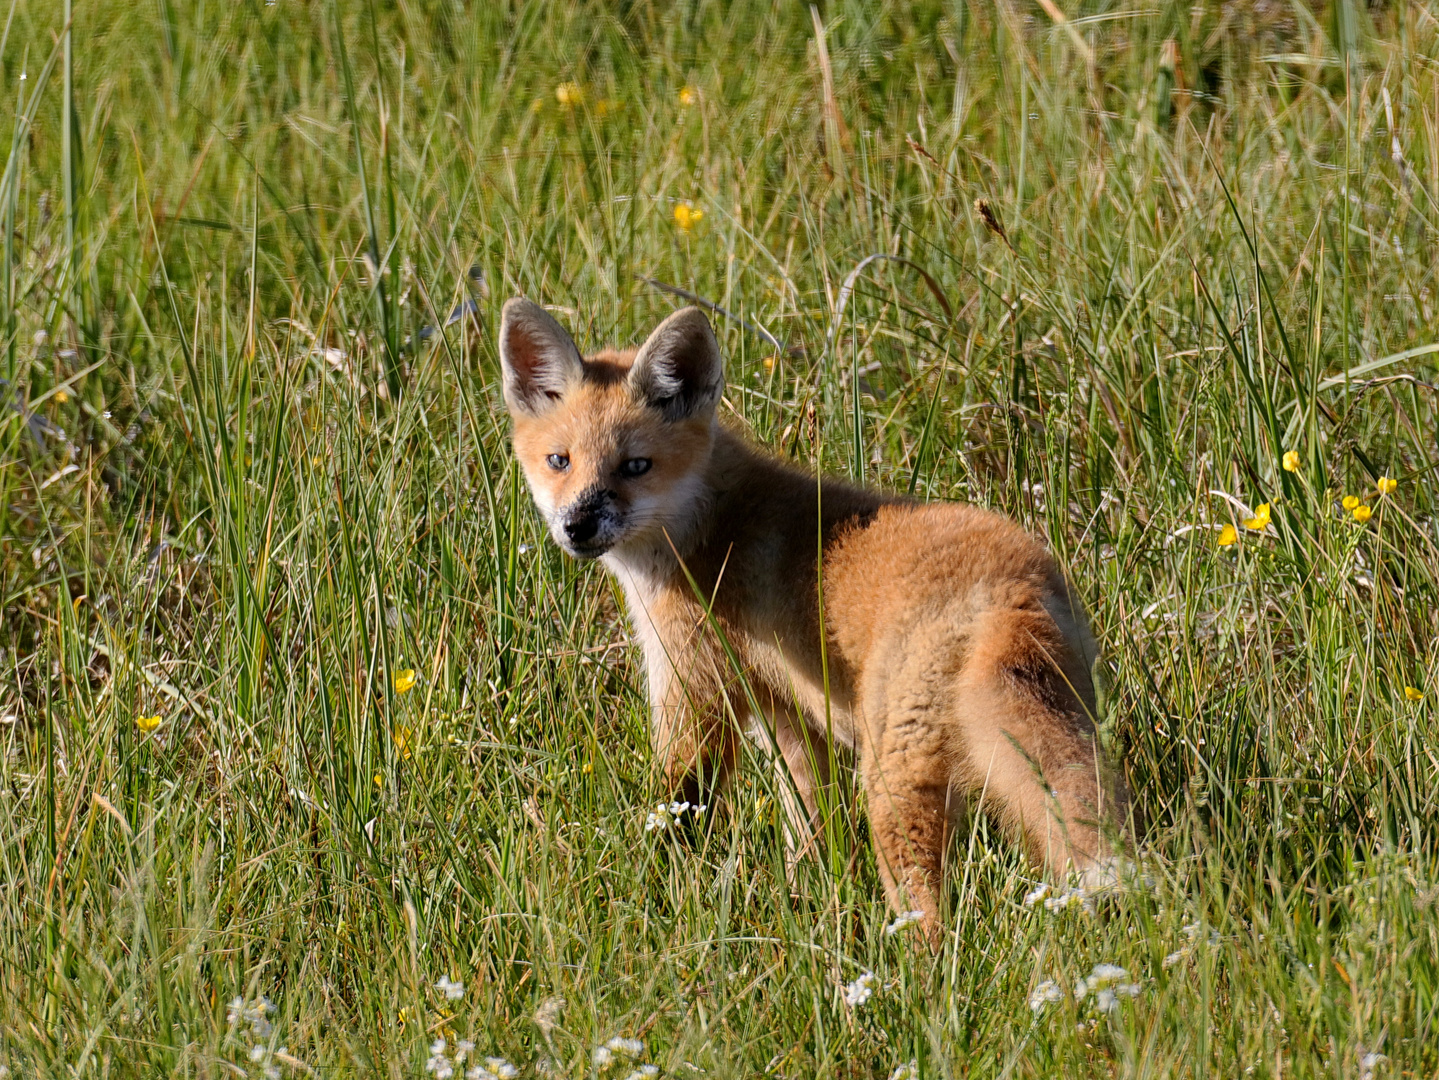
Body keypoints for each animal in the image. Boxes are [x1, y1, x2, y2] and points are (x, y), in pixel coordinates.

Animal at [500, 300, 1128, 943]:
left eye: (634, 466)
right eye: (559, 461)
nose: (577, 527)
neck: (710, 526)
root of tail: (1009, 588)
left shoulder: (694, 694)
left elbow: (677, 809)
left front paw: (658, 895)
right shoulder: (793, 720)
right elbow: (811, 831)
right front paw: (808, 898)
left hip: (893, 780)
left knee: (927, 908)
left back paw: (915, 963)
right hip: (1065, 729)